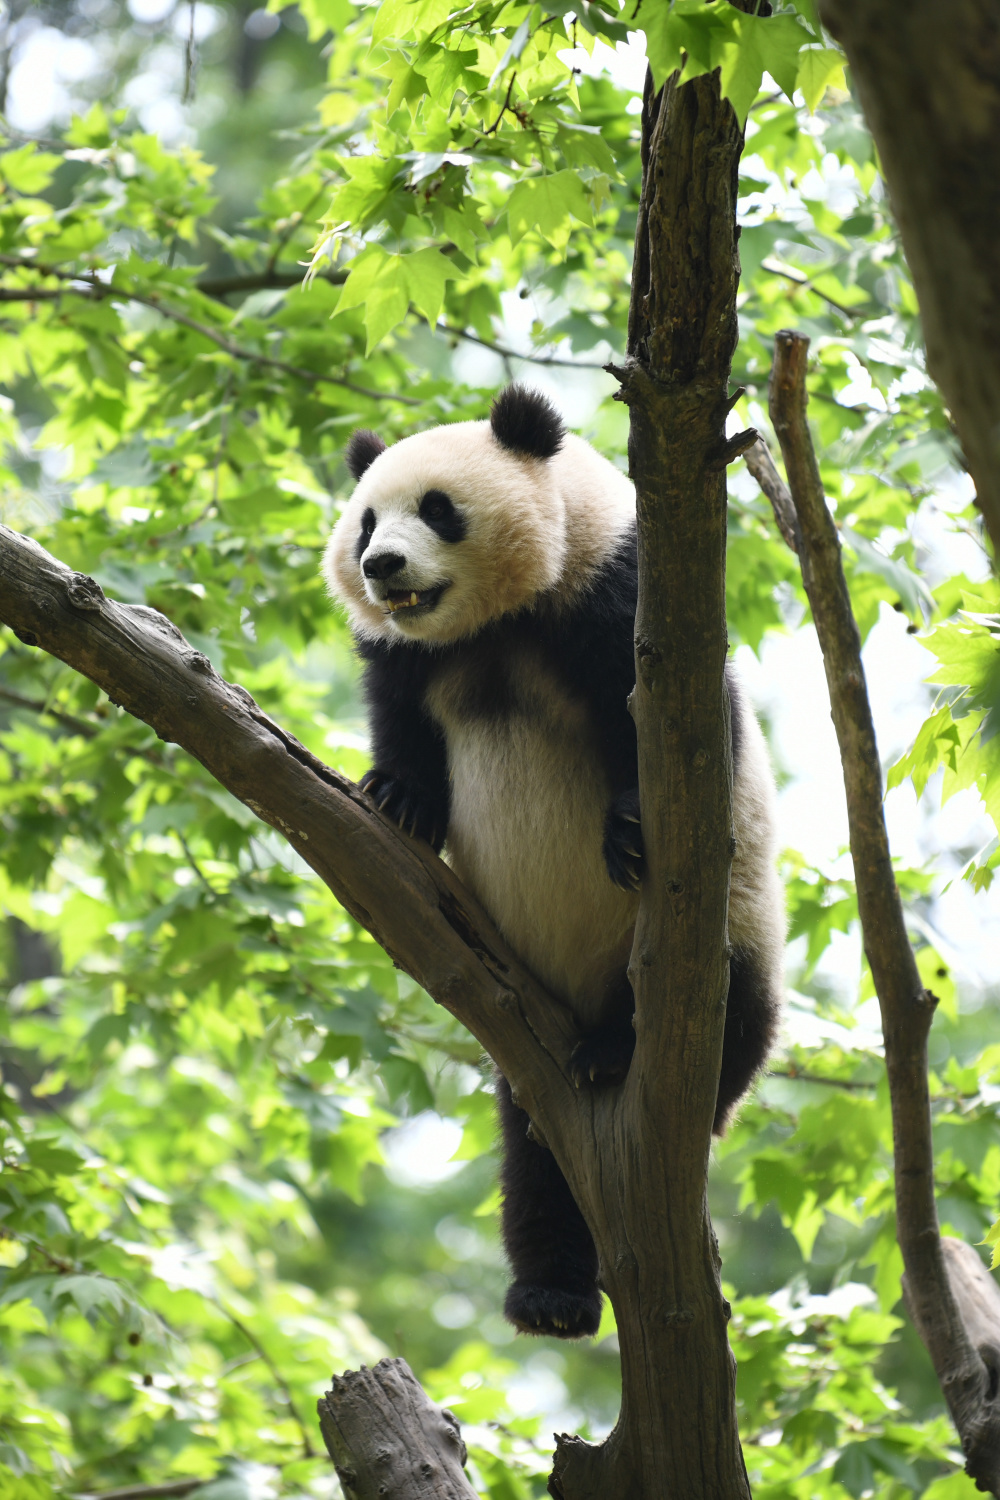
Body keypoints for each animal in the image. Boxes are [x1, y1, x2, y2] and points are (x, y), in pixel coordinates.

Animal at [325, 384, 785, 1338]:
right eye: (365, 521)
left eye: (438, 510)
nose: (383, 566)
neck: (496, 624)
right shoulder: (406, 654)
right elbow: (399, 717)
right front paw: (400, 798)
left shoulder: (622, 600)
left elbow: (677, 738)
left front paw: (631, 830)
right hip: (523, 1031)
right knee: (535, 1156)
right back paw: (550, 1295)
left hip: (735, 929)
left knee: (735, 1021)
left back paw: (618, 1052)